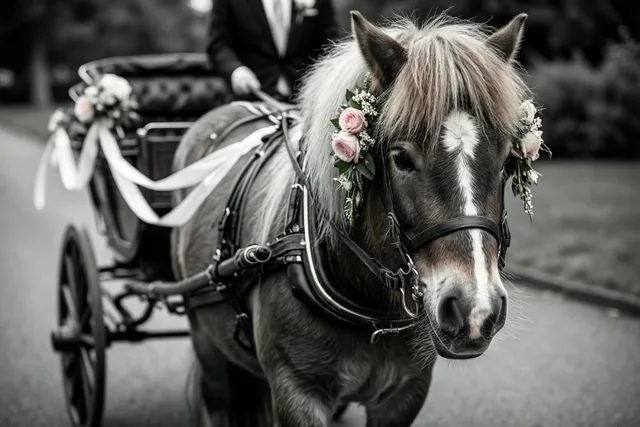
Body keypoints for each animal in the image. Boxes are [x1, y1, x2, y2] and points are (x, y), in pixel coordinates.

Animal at [171, 10, 531, 427]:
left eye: (506, 160)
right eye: (400, 158)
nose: (476, 310)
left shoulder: (404, 394)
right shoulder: (297, 393)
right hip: (203, 337)